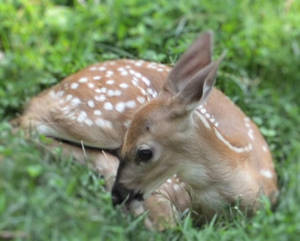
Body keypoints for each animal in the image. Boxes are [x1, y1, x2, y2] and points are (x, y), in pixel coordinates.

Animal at [20, 32, 278, 230]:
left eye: (144, 153)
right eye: (125, 147)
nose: (117, 195)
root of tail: (53, 90)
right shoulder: (171, 185)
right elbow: (167, 220)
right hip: (102, 119)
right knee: (25, 125)